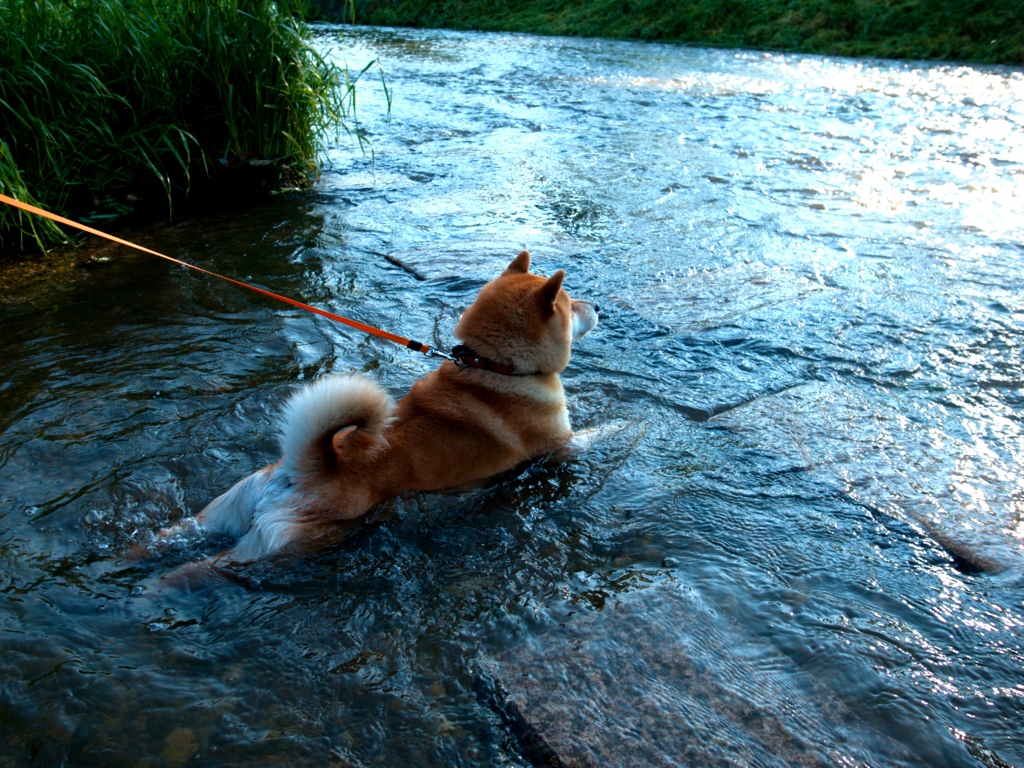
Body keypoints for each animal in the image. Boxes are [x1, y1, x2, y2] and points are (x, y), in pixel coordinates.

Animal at [149, 252, 598, 577]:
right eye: (570, 303)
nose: (596, 305)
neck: (493, 368)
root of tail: (307, 468)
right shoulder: (561, 445)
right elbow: (601, 432)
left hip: (225, 511)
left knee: (172, 535)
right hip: (282, 545)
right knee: (203, 568)